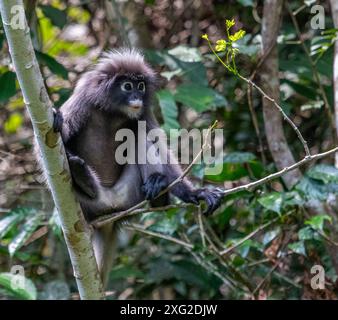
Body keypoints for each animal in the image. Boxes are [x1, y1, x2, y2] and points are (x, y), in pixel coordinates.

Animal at [50, 49, 222, 284]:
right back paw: (84, 180)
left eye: (140, 86)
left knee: (139, 134)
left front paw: (196, 193)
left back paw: (158, 193)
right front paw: (59, 121)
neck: (112, 112)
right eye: (127, 86)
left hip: (131, 195)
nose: (137, 97)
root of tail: (110, 209)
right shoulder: (83, 100)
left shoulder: (143, 112)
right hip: (86, 206)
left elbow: (159, 147)